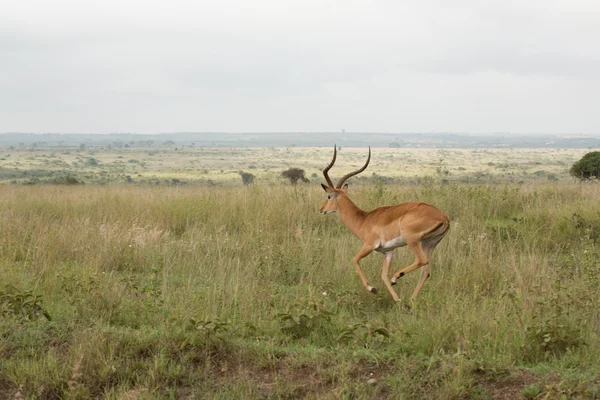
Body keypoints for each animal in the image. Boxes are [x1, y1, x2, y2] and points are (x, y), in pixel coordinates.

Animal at [322, 145, 448, 302]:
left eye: (328, 196)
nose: (321, 209)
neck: (363, 220)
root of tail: (443, 217)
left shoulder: (369, 245)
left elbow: (355, 259)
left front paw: (372, 289)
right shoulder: (388, 252)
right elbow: (383, 275)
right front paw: (397, 299)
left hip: (412, 240)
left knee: (421, 260)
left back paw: (396, 278)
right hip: (429, 243)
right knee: (425, 271)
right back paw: (411, 301)